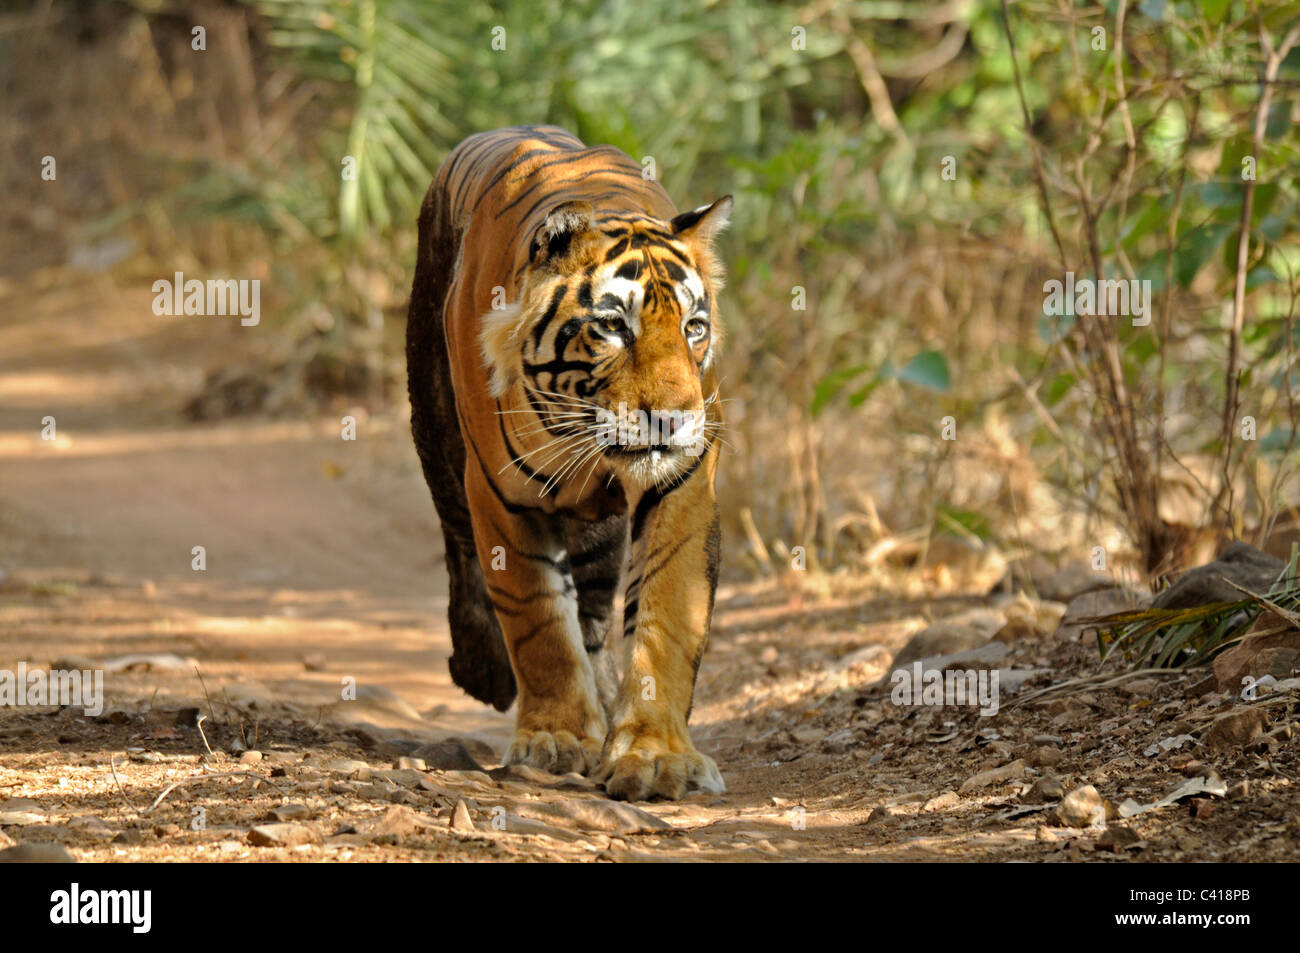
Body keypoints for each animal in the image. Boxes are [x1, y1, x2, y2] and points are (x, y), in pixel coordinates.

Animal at [405, 122, 733, 800]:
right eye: (612, 326)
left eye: (693, 327)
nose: (674, 420)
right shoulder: (501, 497)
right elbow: (538, 625)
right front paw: (555, 739)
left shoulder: (682, 486)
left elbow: (665, 619)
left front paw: (653, 755)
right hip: (437, 434)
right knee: (458, 547)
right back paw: (482, 668)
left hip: (599, 528)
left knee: (595, 613)